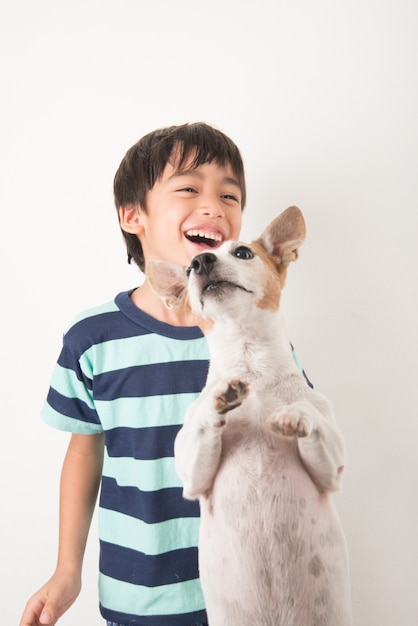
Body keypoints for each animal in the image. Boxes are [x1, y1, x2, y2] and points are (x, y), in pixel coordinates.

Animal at [149, 206, 352, 624]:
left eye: (243, 253)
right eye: (189, 268)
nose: (199, 261)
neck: (252, 364)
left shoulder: (331, 472)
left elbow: (312, 421)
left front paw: (296, 416)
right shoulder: (193, 479)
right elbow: (203, 426)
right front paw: (221, 396)